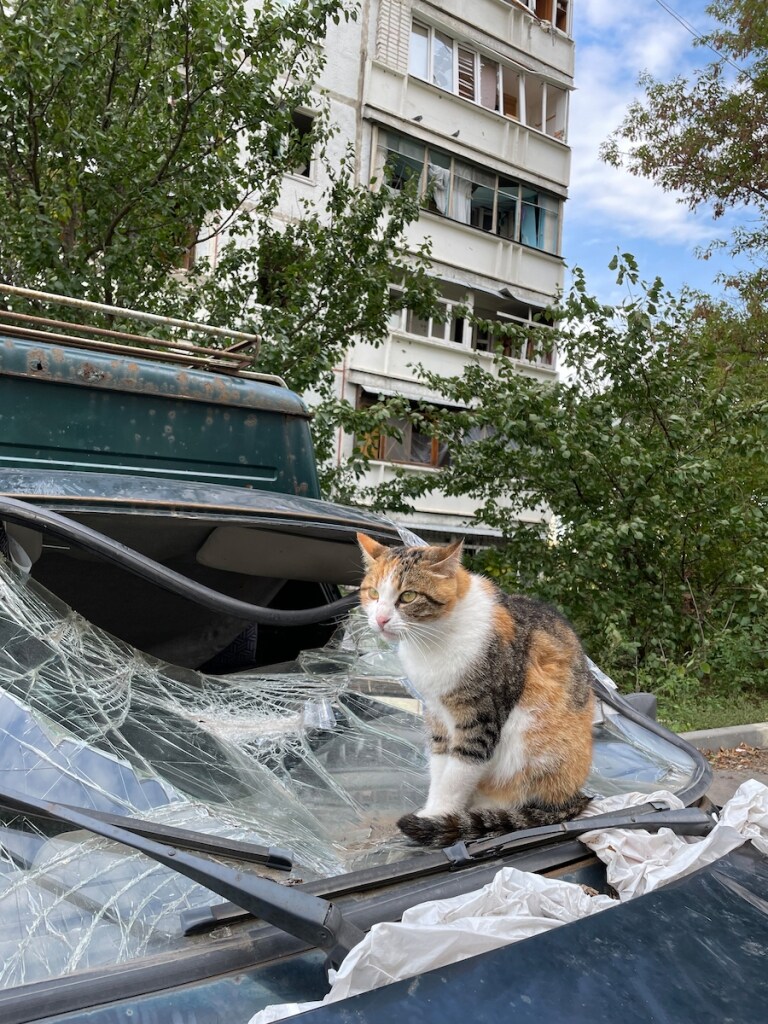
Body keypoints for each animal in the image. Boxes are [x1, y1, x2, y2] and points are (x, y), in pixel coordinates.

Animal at [356, 536, 593, 847]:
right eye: (373, 593)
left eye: (407, 596)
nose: (381, 619)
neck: (433, 640)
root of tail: (572, 796)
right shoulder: (437, 715)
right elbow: (439, 767)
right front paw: (433, 809)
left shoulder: (480, 719)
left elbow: (457, 774)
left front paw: (438, 816)